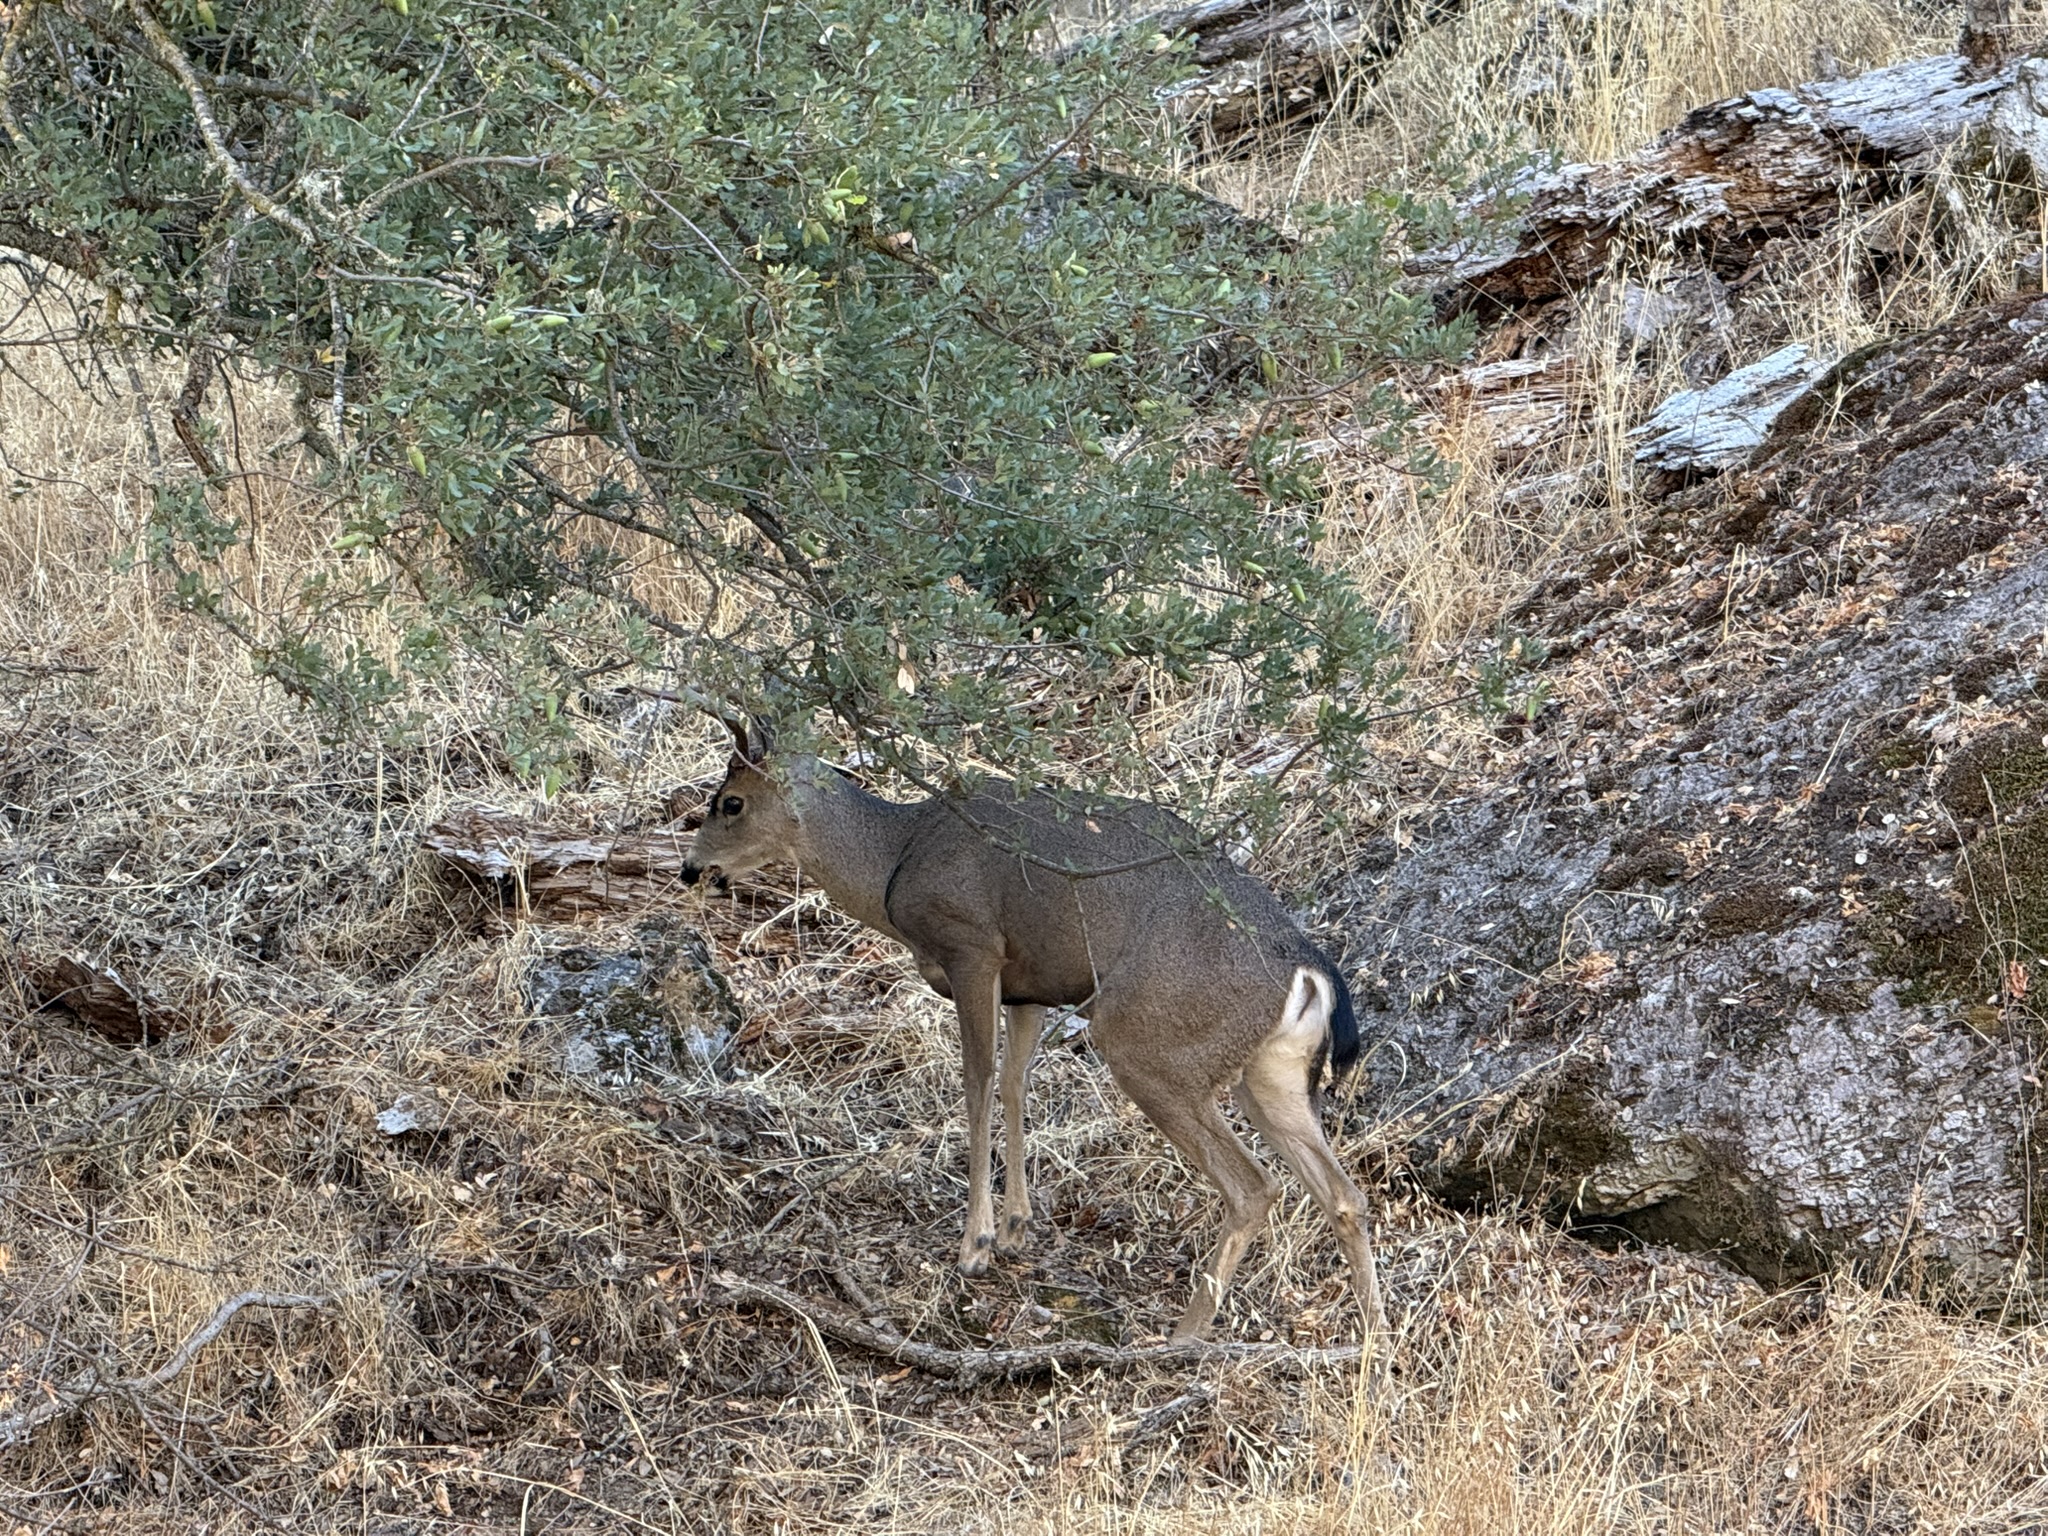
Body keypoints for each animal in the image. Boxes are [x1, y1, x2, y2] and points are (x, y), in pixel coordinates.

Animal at [679, 719, 1387, 1348]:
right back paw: (1372, 1341)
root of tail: (1308, 968)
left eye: (730, 801)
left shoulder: (973, 946)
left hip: (1151, 1043)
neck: (894, 861)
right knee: (1344, 1194)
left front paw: (976, 1245)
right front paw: (1017, 1227)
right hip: (1268, 1072)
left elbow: (978, 1082)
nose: (690, 869)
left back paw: (1184, 1335)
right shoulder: (1030, 987)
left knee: (1255, 1185)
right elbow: (1017, 1084)